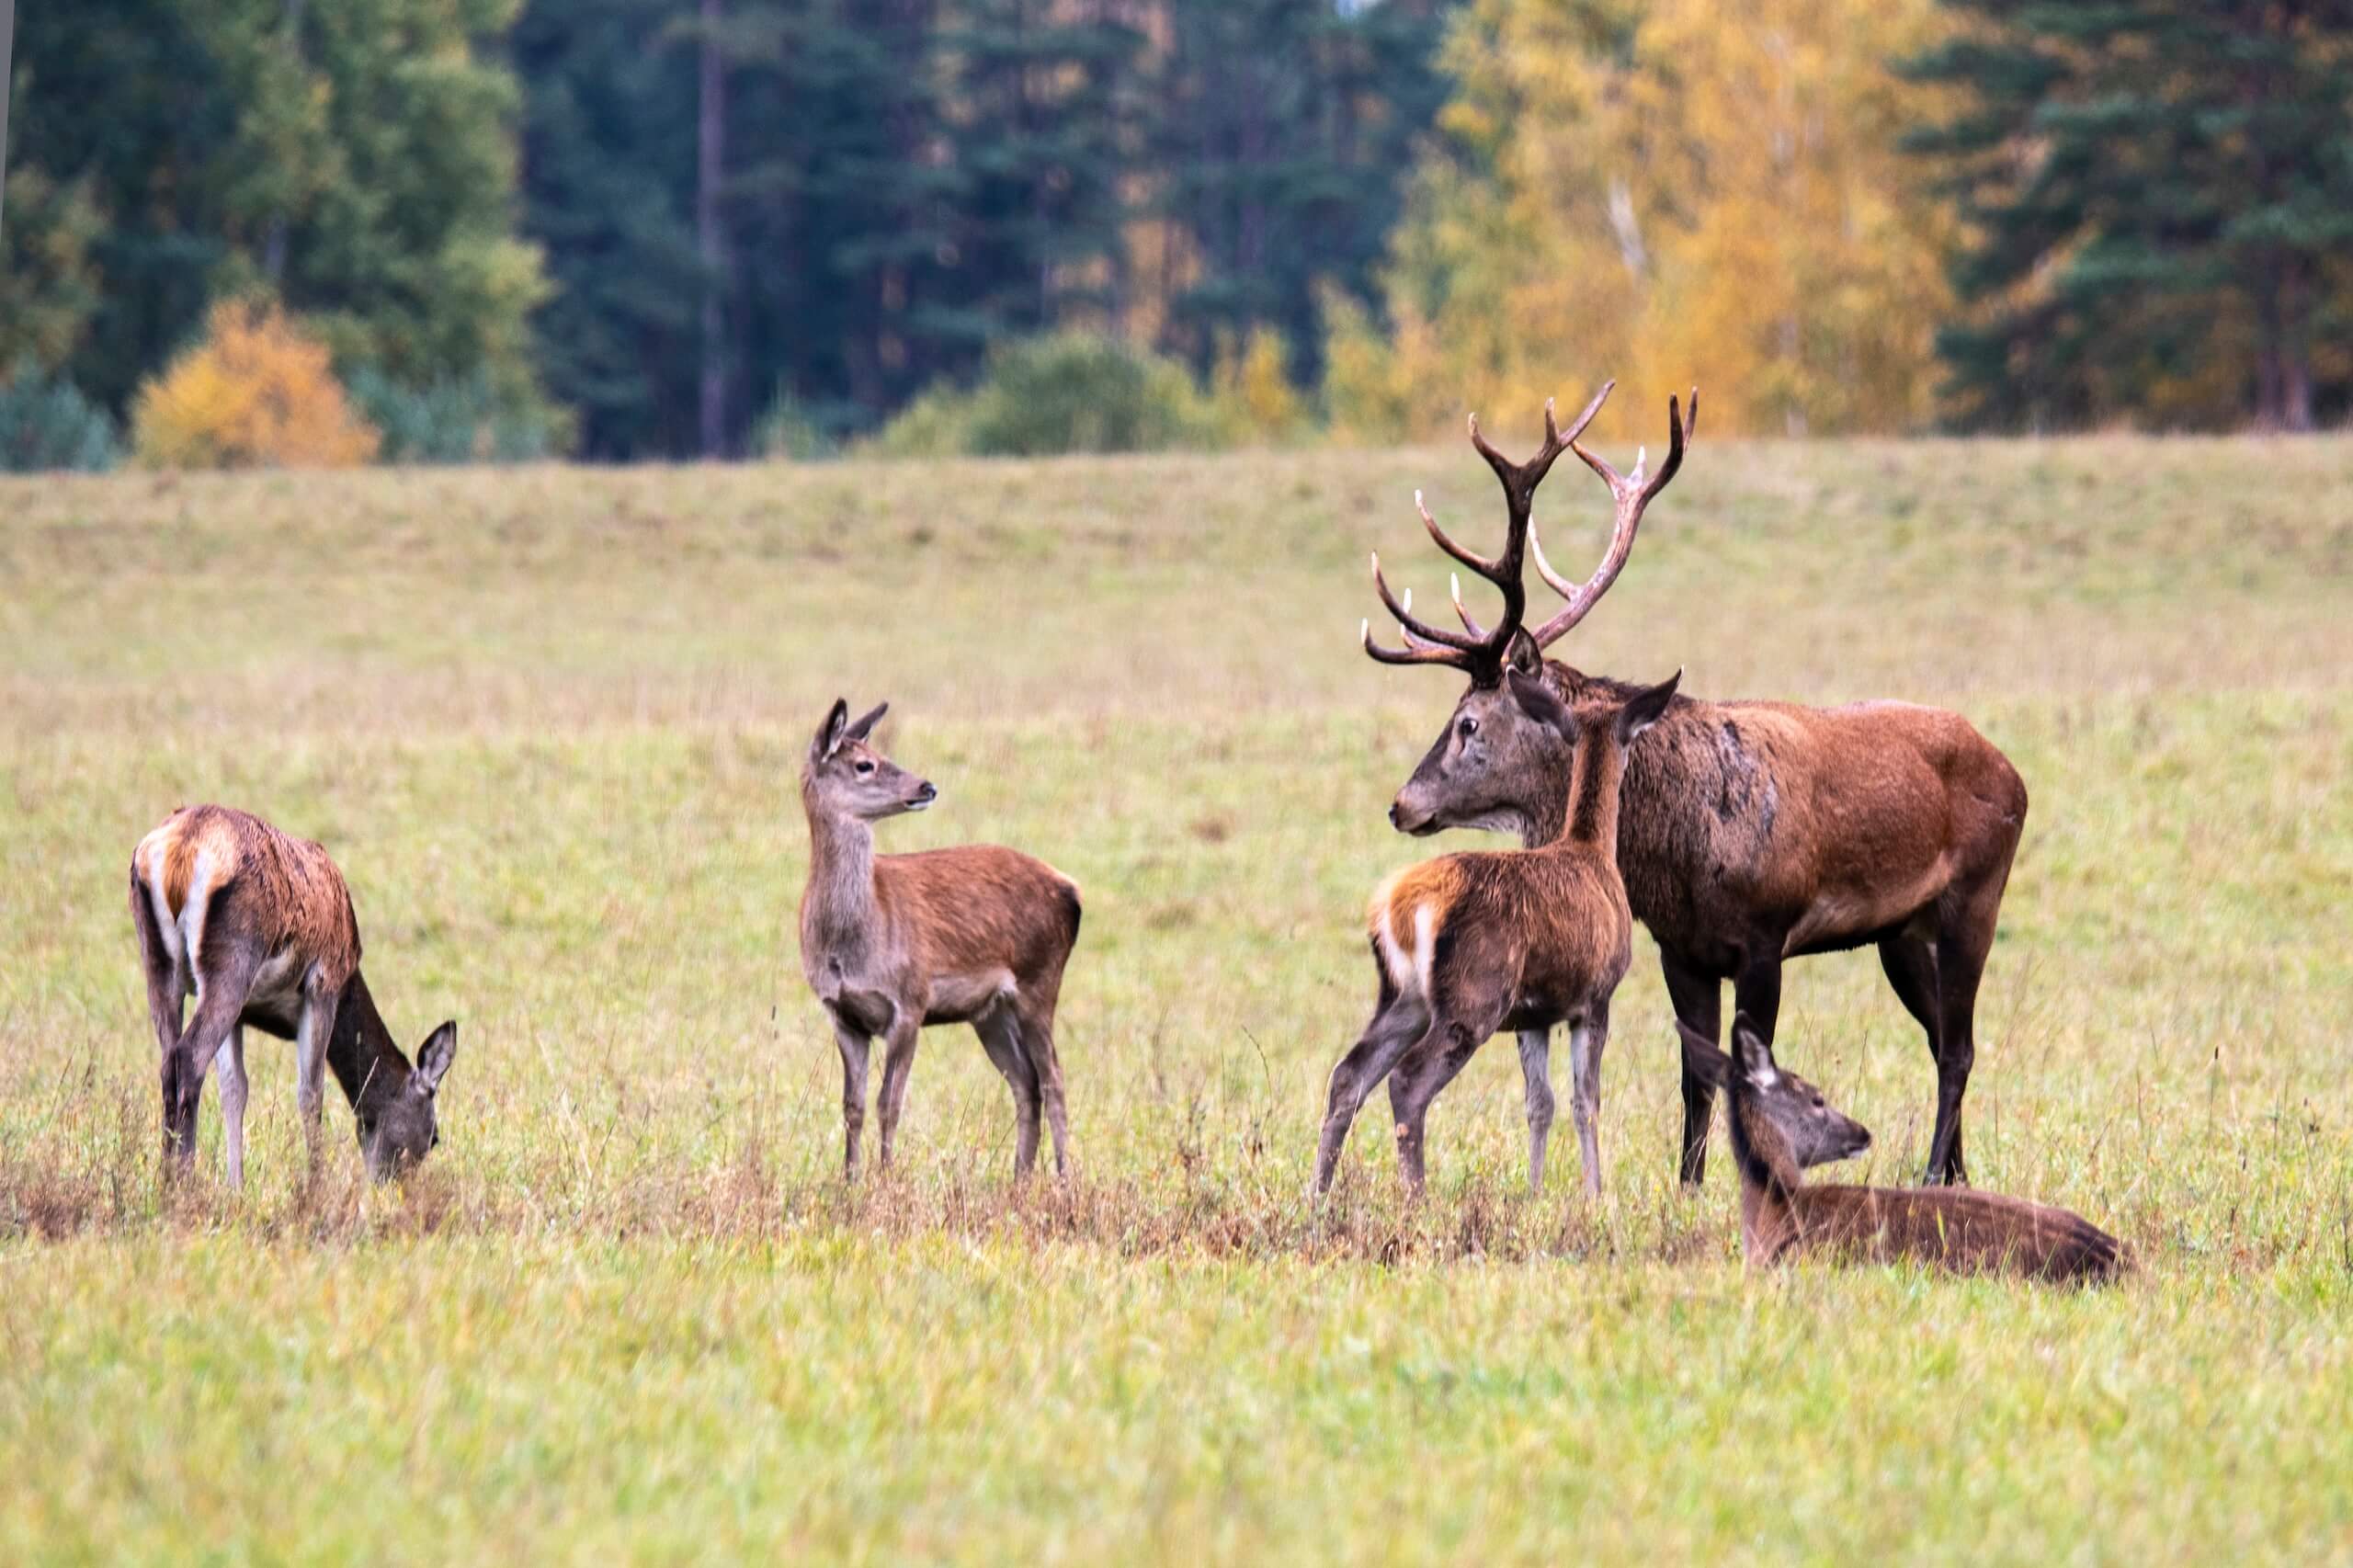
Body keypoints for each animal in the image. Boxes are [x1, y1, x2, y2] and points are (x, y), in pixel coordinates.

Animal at [129, 804, 458, 1186]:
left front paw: (236, 1186)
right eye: (434, 1137)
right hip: (231, 965)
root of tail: (179, 852)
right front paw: (316, 1187)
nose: (398, 1187)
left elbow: (234, 1088)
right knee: (189, 1056)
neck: (351, 978)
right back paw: (184, 1181)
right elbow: (310, 1091)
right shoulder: (324, 983)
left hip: (160, 964)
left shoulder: (242, 1013)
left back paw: (167, 1180)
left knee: (169, 1059)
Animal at [799, 698, 1082, 1179]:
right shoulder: (841, 1013)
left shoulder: (910, 1001)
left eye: (877, 754)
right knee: (1027, 1083)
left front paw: (886, 1179)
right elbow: (852, 1106)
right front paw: (850, 1180)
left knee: (1054, 1078)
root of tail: (1072, 891)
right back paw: (1020, 1180)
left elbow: (889, 1104)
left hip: (1040, 979)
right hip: (990, 1011)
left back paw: (1063, 1179)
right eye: (864, 764)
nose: (925, 786)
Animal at [1313, 664, 1680, 1198]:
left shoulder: (1534, 1015)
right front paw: (1594, 1194)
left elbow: (1540, 1103)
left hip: (1404, 998)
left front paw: (1535, 1192)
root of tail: (1398, 907)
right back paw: (1416, 1199)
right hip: (1473, 997)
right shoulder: (1594, 998)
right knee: (1406, 1082)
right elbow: (1586, 1102)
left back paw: (1318, 1199)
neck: (1592, 851)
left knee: (1348, 1076)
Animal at [1363, 380, 2028, 1191]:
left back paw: (1934, 1175)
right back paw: (1957, 1172)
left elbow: (1752, 1070)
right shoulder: (1680, 947)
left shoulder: (1767, 935)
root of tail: (2011, 769)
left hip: (1976, 896)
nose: (1403, 804)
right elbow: (1695, 1076)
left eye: (1468, 722)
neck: (1676, 855)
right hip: (1900, 932)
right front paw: (1688, 1183)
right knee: (1940, 1037)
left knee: (1959, 1045)